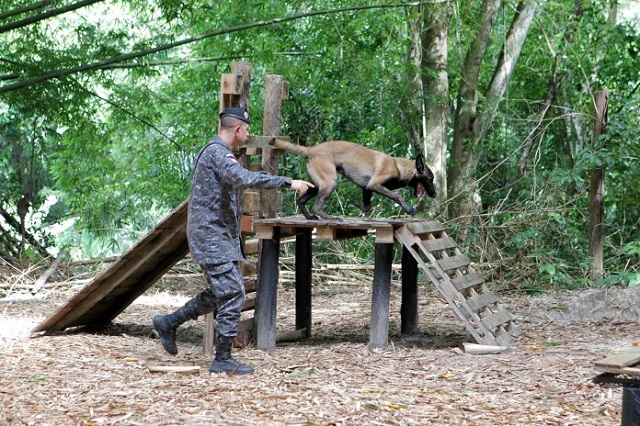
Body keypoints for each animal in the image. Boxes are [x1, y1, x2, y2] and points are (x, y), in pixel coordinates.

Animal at [270, 140, 436, 220]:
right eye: (430, 179)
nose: (434, 194)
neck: (399, 167)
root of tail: (312, 149)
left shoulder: (367, 188)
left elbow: (367, 206)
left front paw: (355, 203)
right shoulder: (374, 184)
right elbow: (397, 195)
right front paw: (409, 209)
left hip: (318, 185)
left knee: (301, 200)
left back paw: (310, 217)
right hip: (329, 182)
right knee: (317, 206)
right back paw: (331, 218)